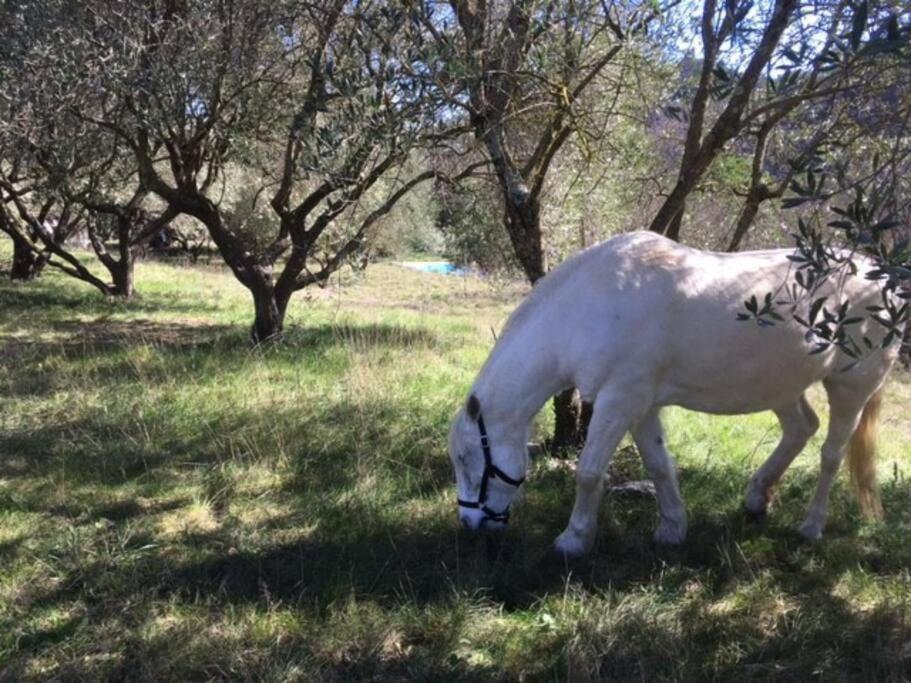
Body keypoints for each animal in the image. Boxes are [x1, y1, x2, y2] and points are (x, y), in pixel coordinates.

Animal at [448, 232, 896, 560]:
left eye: (468, 460)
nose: (469, 526)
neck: (590, 306)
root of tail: (885, 281)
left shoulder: (619, 401)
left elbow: (590, 473)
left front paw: (573, 540)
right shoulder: (640, 406)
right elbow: (659, 464)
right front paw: (672, 529)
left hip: (851, 388)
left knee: (831, 455)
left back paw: (811, 526)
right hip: (781, 385)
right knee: (801, 428)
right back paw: (756, 498)